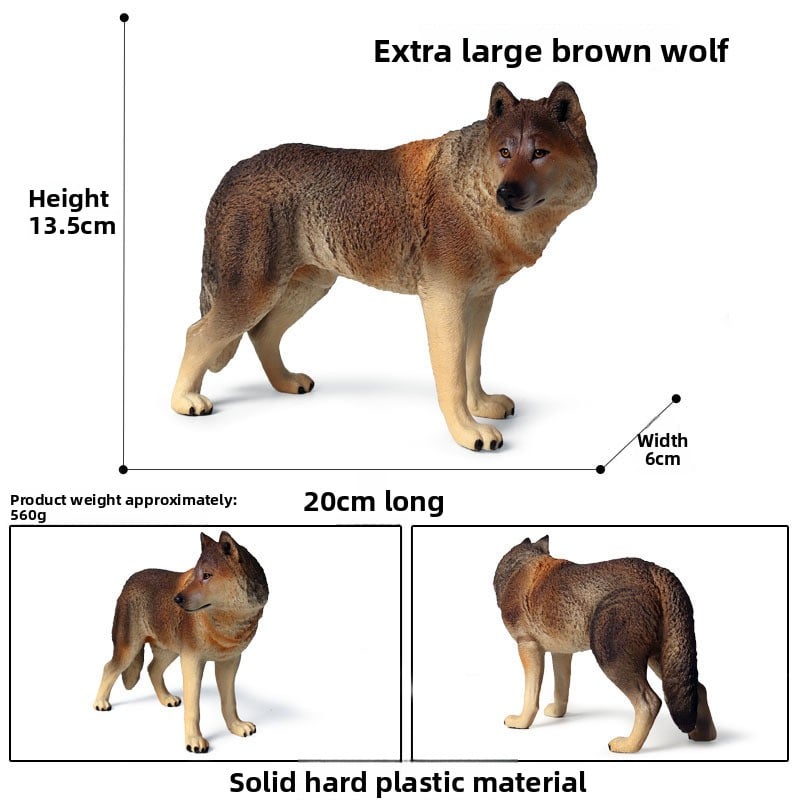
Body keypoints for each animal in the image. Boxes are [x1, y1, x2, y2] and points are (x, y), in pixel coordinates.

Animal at [93, 532, 269, 753]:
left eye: (207, 575)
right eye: (195, 575)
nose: (176, 599)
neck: (227, 623)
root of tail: (130, 580)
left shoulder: (229, 662)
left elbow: (230, 701)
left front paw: (236, 726)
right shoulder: (192, 661)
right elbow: (194, 708)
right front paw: (194, 741)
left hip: (170, 651)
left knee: (152, 668)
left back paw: (166, 699)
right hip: (130, 649)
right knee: (109, 667)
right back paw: (100, 702)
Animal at [171, 82, 597, 451]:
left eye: (539, 153)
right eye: (505, 153)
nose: (505, 193)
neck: (475, 192)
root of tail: (234, 171)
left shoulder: (479, 300)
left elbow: (471, 365)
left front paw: (481, 407)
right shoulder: (443, 300)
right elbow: (452, 378)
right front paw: (467, 431)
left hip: (307, 289)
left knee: (261, 334)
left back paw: (286, 382)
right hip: (254, 294)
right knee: (197, 334)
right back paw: (186, 401)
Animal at [494, 536, 716, 752]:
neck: (523, 564)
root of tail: (656, 571)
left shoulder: (527, 646)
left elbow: (530, 696)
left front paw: (521, 722)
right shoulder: (561, 653)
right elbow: (561, 689)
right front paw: (557, 713)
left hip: (611, 660)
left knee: (650, 703)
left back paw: (628, 746)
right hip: (663, 661)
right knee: (699, 688)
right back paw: (704, 736)